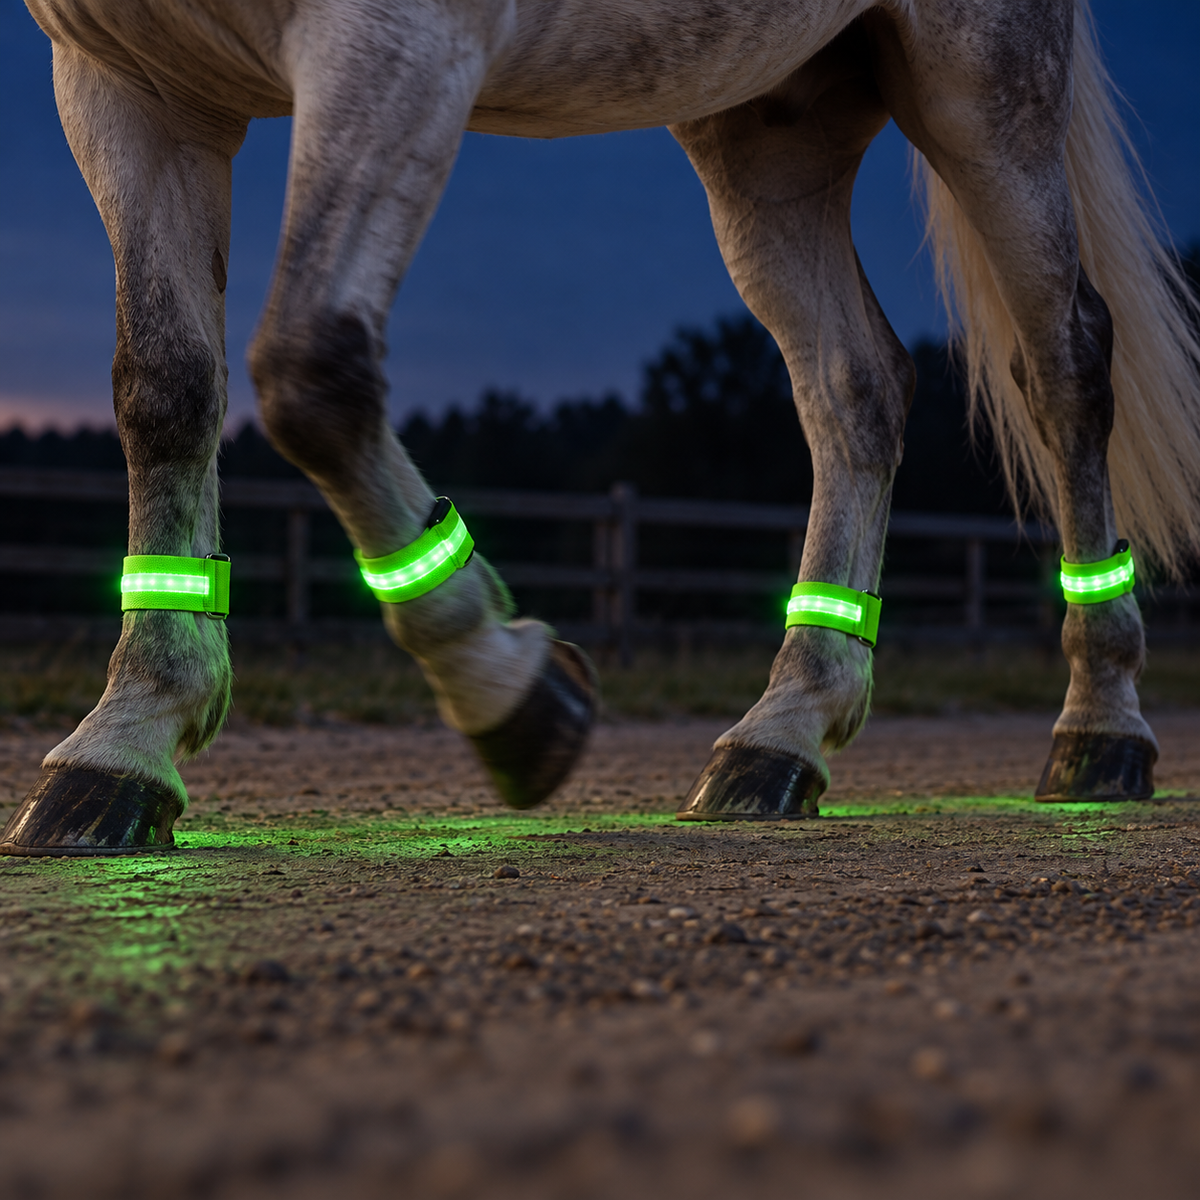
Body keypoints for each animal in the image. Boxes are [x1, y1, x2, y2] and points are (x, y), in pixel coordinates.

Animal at [3, 0, 1199, 854]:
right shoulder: (127, 83)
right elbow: (165, 391)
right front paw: (125, 745)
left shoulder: (396, 43)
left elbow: (309, 373)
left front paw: (516, 695)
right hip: (765, 115)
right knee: (855, 383)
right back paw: (780, 739)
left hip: (982, 85)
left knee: (1067, 365)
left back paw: (1101, 733)